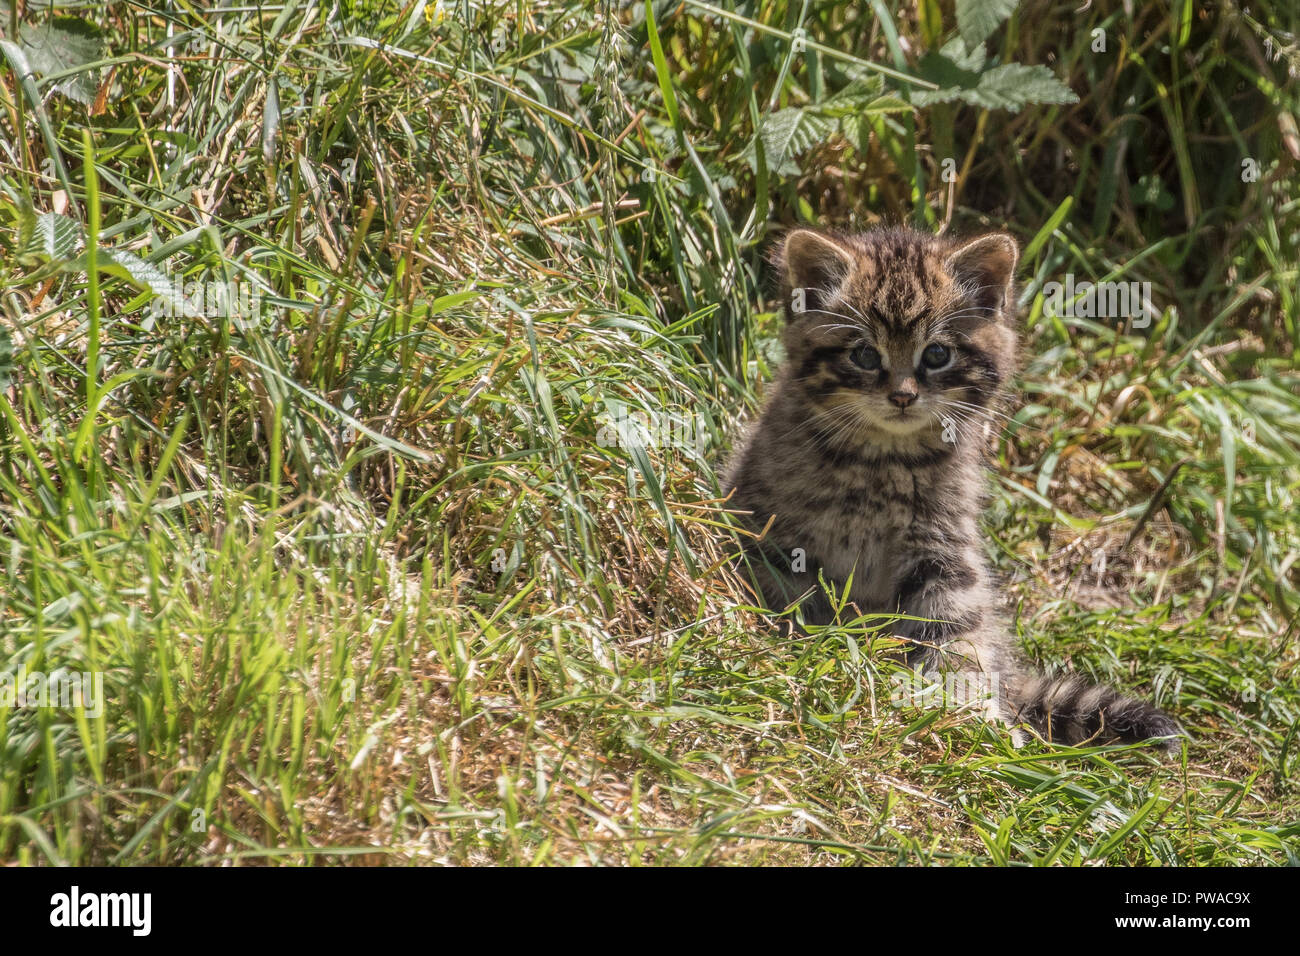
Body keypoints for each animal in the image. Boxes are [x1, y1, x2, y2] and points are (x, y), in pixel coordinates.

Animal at [728, 227, 1185, 749]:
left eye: (936, 354)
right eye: (864, 354)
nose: (902, 396)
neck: (884, 458)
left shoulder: (942, 547)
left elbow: (957, 627)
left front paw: (968, 710)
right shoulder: (774, 533)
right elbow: (790, 598)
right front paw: (806, 651)